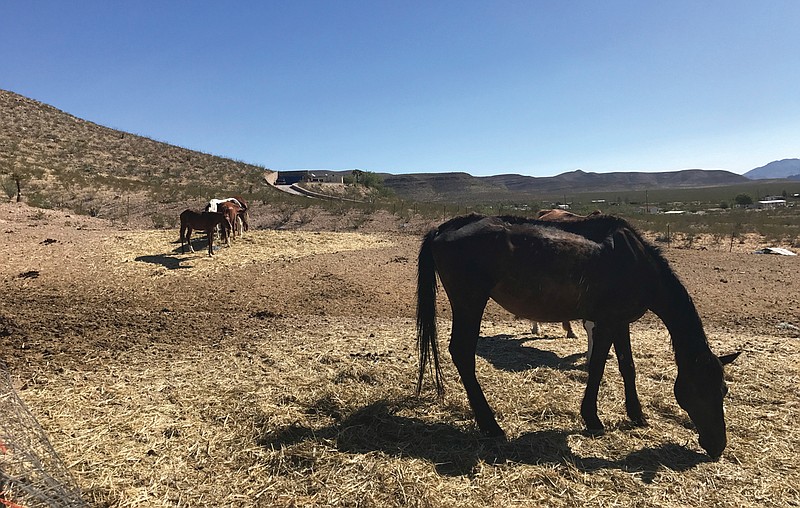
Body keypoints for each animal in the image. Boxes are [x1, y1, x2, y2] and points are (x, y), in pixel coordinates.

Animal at [416, 213, 739, 458]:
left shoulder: (620, 322)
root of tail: (444, 228)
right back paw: (490, 425)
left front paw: (636, 414)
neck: (637, 263)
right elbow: (596, 368)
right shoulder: (606, 323)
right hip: (470, 302)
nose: (717, 446)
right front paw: (593, 418)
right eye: (701, 390)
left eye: (723, 390)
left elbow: (627, 367)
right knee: (462, 353)